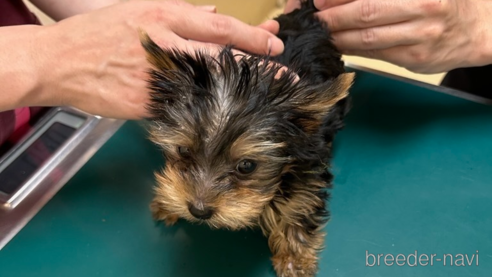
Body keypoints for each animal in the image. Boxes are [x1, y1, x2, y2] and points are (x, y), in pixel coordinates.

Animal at [138, 1, 354, 274]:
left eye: (247, 166)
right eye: (183, 151)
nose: (198, 210)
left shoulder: (307, 164)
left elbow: (300, 203)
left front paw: (294, 258)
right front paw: (168, 202)